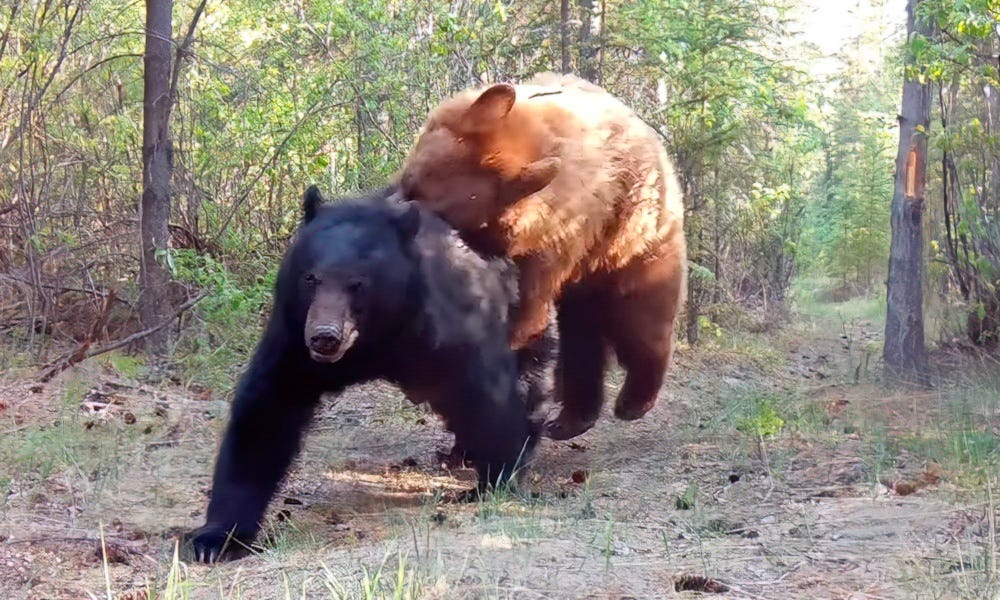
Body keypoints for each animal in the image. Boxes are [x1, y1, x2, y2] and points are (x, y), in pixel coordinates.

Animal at [190, 184, 560, 564]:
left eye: (357, 284)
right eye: (310, 277)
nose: (324, 336)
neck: (376, 339)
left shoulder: (451, 326)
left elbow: (487, 395)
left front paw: (494, 480)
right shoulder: (293, 339)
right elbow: (265, 413)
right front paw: (217, 537)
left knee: (529, 384)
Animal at [398, 74, 688, 440]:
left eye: (449, 216)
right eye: (411, 183)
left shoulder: (554, 237)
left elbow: (525, 311)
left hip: (632, 240)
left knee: (641, 317)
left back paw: (633, 401)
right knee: (582, 337)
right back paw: (571, 418)